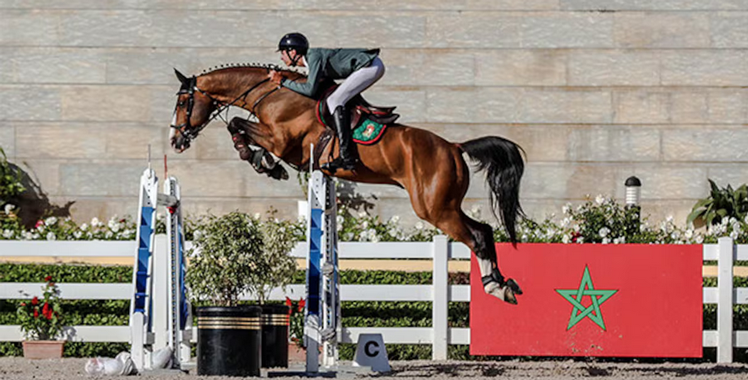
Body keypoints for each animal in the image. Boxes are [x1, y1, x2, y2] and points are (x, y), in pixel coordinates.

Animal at [169, 63, 524, 304]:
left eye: (183, 103)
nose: (175, 141)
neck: (274, 94)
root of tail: (454, 147)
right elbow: (237, 125)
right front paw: (262, 162)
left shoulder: (282, 141)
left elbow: (236, 123)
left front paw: (262, 162)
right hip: (445, 205)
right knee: (485, 231)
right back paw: (500, 284)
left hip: (435, 209)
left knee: (476, 237)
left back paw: (496, 287)